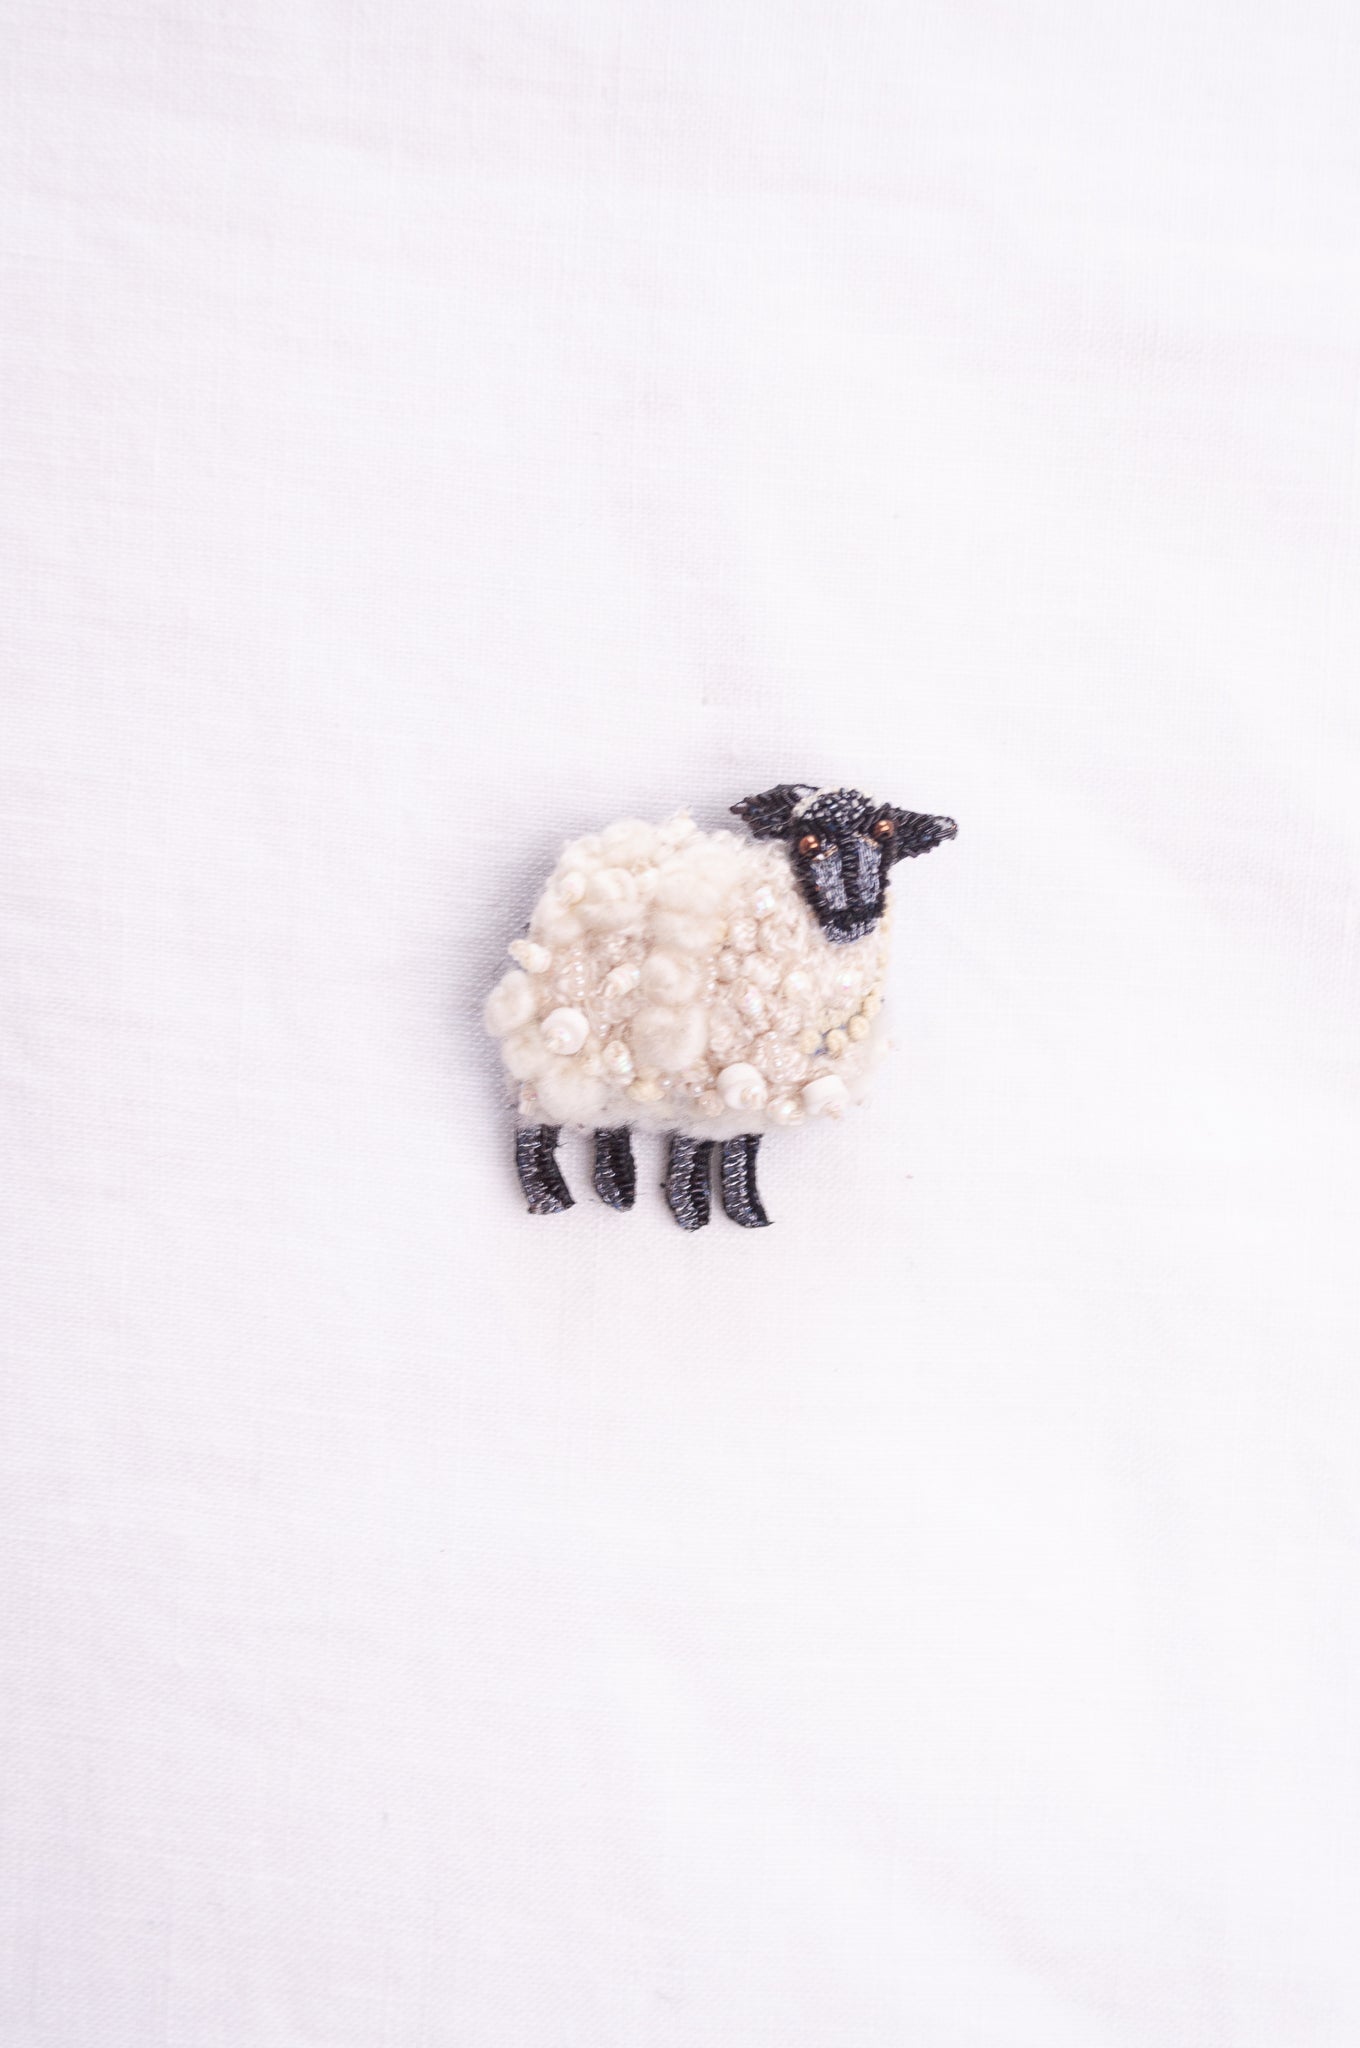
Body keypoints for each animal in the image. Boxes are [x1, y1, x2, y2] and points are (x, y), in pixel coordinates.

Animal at [484, 783, 957, 1228]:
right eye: (806, 841)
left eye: (886, 832)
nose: (853, 918)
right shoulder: (704, 1074)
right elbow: (693, 1147)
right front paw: (692, 1211)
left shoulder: (761, 1082)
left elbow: (743, 1143)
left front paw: (746, 1209)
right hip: (550, 1045)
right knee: (533, 1123)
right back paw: (550, 1197)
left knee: (608, 1122)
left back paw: (618, 1190)